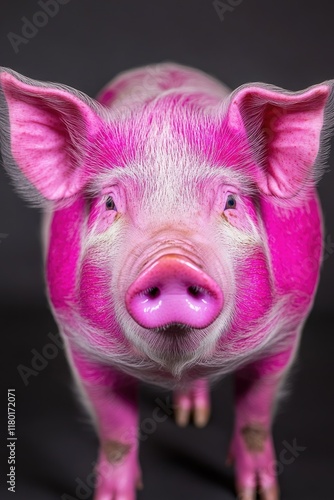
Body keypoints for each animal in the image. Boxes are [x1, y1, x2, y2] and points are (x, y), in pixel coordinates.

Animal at [0, 63, 332, 500]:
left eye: (231, 201)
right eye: (110, 203)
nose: (172, 262)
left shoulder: (286, 331)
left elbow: (256, 417)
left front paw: (259, 494)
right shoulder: (82, 343)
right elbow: (115, 431)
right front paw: (114, 496)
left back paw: (196, 418)